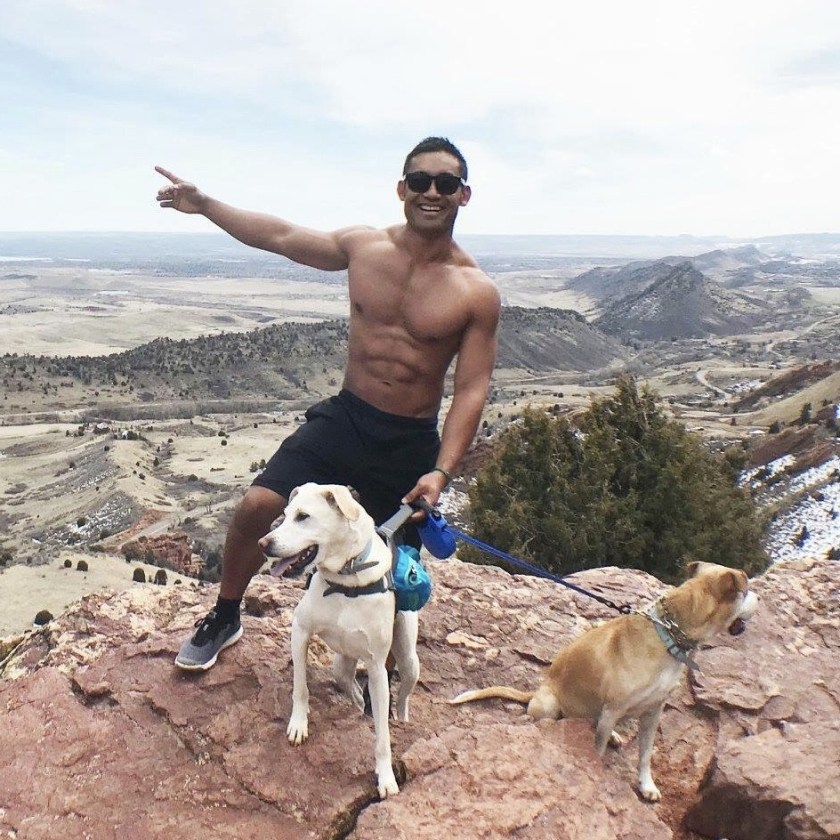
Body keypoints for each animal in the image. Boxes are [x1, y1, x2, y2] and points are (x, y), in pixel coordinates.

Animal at [258, 482, 419, 799]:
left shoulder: (378, 669)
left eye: (303, 517)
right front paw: (298, 725)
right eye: (285, 514)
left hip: (408, 660)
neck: (346, 580)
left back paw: (402, 718)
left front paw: (386, 777)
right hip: (341, 666)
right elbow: (300, 687)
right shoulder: (300, 631)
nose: (263, 542)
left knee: (403, 696)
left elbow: (382, 736)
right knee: (353, 691)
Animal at [450, 561, 759, 801]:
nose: (759, 598)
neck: (669, 634)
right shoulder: (613, 708)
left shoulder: (653, 711)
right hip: (550, 706)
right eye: (746, 589)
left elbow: (645, 754)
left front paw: (646, 785)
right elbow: (597, 752)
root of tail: (536, 691)